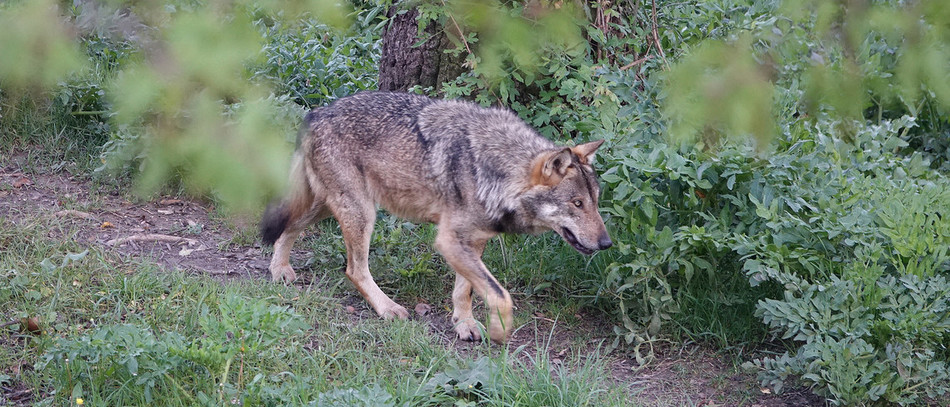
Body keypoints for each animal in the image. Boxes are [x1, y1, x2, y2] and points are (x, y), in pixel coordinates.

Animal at [260, 92, 612, 343]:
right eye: (577, 203)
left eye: (595, 201)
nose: (607, 243)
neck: (497, 168)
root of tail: (316, 113)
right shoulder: (449, 240)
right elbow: (501, 296)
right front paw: (499, 332)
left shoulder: (475, 240)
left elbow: (465, 290)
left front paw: (465, 324)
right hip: (360, 213)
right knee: (354, 269)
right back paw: (388, 309)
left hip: (330, 205)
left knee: (288, 227)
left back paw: (279, 270)